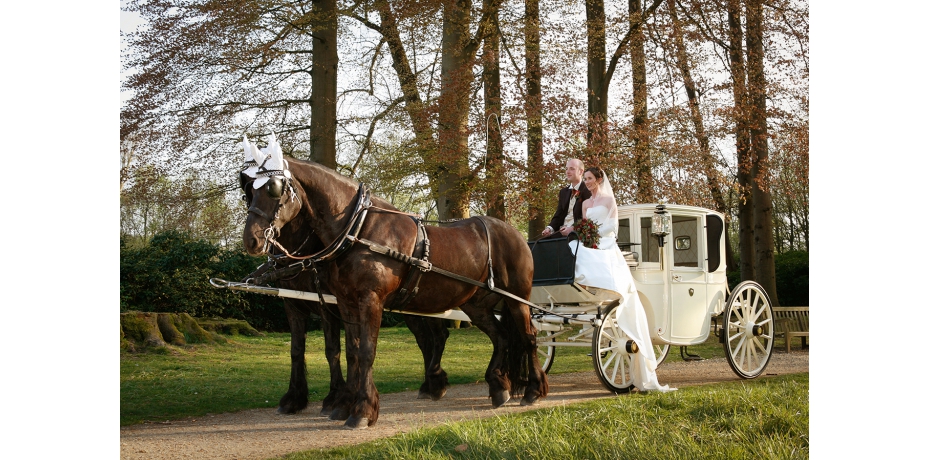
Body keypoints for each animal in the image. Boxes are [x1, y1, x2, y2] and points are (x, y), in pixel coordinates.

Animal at [241, 157, 544, 428]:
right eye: (248, 192)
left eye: (274, 189)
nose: (251, 240)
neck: (358, 229)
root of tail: (513, 232)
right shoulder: (343, 303)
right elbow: (348, 351)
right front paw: (342, 404)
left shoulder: (368, 301)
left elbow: (365, 352)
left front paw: (362, 411)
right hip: (474, 305)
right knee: (499, 336)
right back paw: (497, 386)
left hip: (517, 301)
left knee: (528, 337)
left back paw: (533, 390)